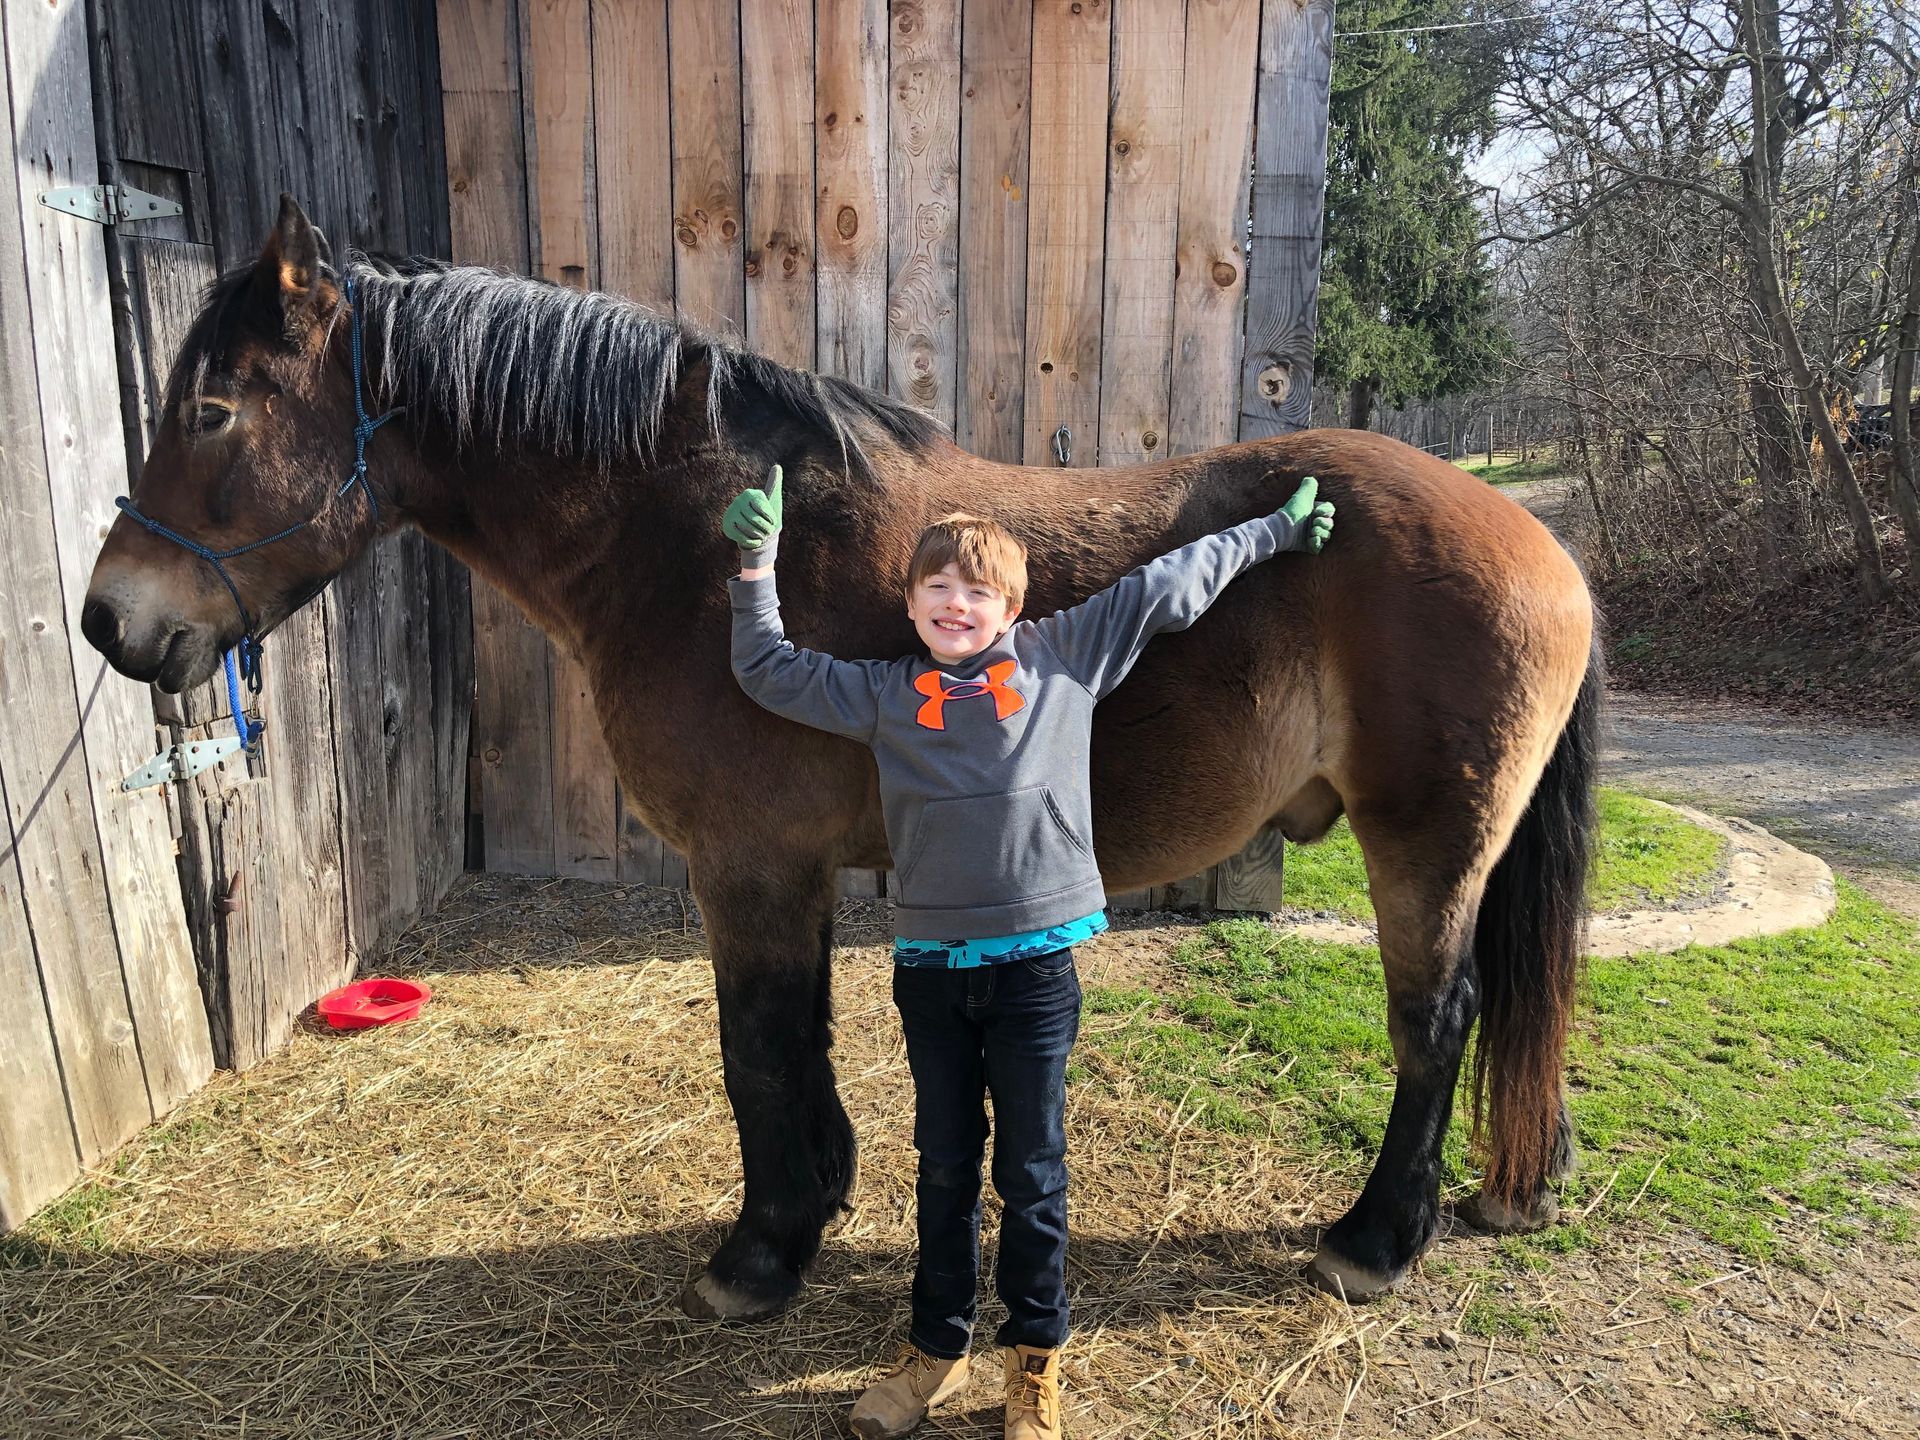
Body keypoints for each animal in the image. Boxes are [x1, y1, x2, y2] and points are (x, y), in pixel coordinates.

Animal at [82, 200, 1597, 1320]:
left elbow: (755, 1050)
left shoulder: (748, 866)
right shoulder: (787, 873)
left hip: (1426, 848)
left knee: (1437, 1020)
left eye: (213, 410)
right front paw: (816, 1205)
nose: (111, 620)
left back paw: (1373, 1240)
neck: (693, 539)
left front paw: (761, 1253)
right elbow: (795, 1041)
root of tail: (1541, 545)